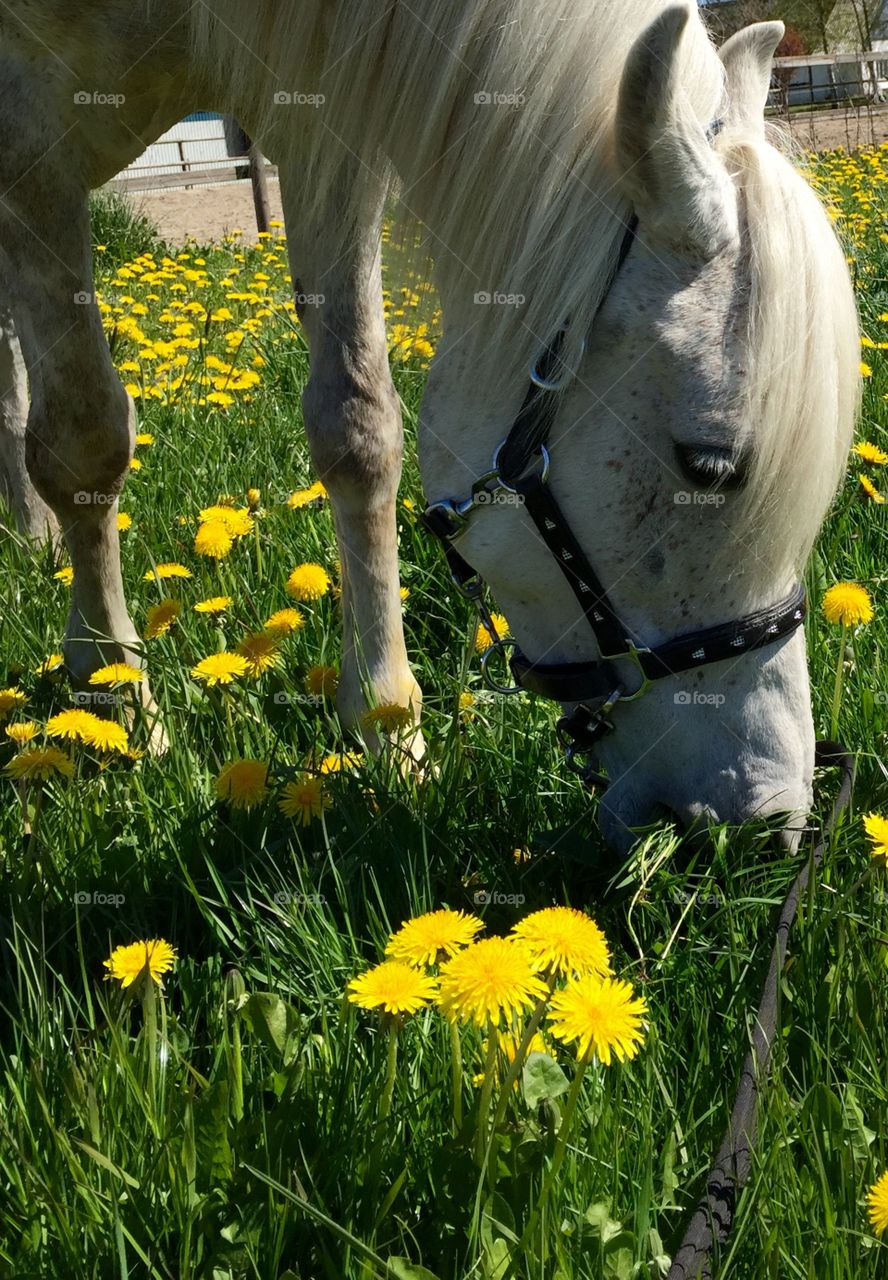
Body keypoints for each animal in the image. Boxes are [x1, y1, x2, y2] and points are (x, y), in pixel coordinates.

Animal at [0, 1, 859, 853]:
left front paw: (387, 728)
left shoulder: (323, 121)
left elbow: (358, 426)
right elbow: (86, 440)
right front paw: (116, 699)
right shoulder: (31, 147)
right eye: (706, 466)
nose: (770, 819)